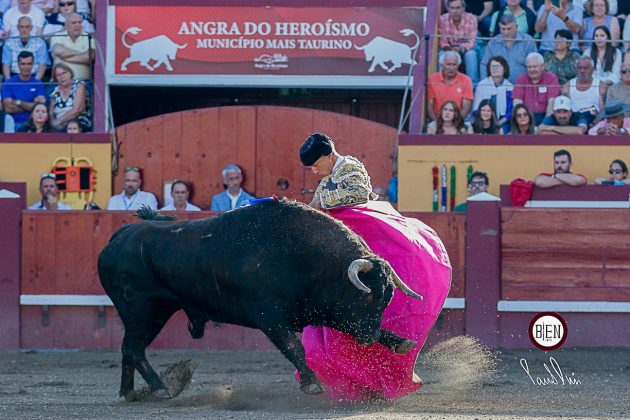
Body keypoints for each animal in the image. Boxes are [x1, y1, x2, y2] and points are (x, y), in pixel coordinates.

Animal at [98, 200, 422, 400]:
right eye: (365, 297)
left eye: (386, 300)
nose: (368, 339)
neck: (306, 257)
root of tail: (119, 236)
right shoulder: (269, 315)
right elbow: (293, 346)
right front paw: (312, 383)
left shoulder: (322, 309)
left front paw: (401, 342)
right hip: (142, 308)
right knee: (133, 348)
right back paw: (159, 388)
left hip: (153, 311)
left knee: (129, 349)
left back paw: (129, 393)